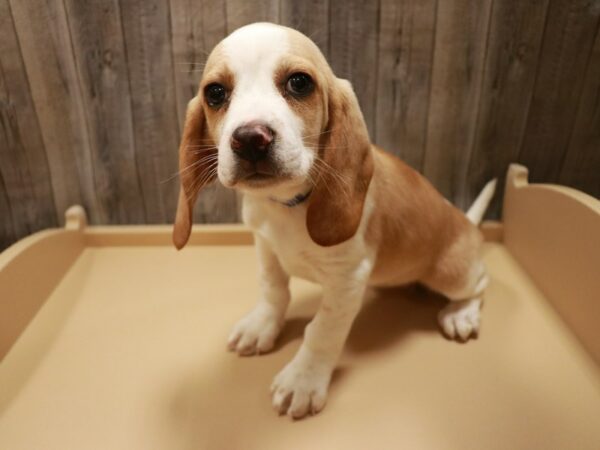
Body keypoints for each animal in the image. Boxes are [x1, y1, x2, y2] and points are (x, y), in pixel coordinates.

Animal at [173, 23, 496, 418]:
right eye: (215, 92)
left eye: (299, 83)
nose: (250, 139)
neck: (287, 206)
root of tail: (467, 223)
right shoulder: (265, 247)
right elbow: (273, 290)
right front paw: (262, 325)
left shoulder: (347, 280)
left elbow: (321, 331)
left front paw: (303, 380)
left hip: (450, 273)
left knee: (480, 282)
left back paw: (462, 314)